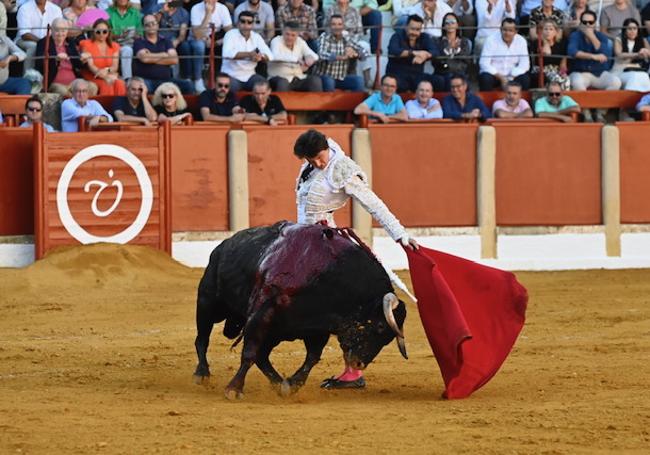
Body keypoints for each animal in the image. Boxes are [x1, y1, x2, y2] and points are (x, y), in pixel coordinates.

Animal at [190, 224, 408, 400]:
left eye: (388, 338)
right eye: (380, 326)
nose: (359, 364)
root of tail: (223, 245)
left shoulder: (318, 327)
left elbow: (312, 358)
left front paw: (292, 384)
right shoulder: (261, 315)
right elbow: (249, 353)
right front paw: (234, 389)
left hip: (274, 332)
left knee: (263, 356)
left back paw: (278, 382)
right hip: (208, 303)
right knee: (202, 338)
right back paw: (202, 374)